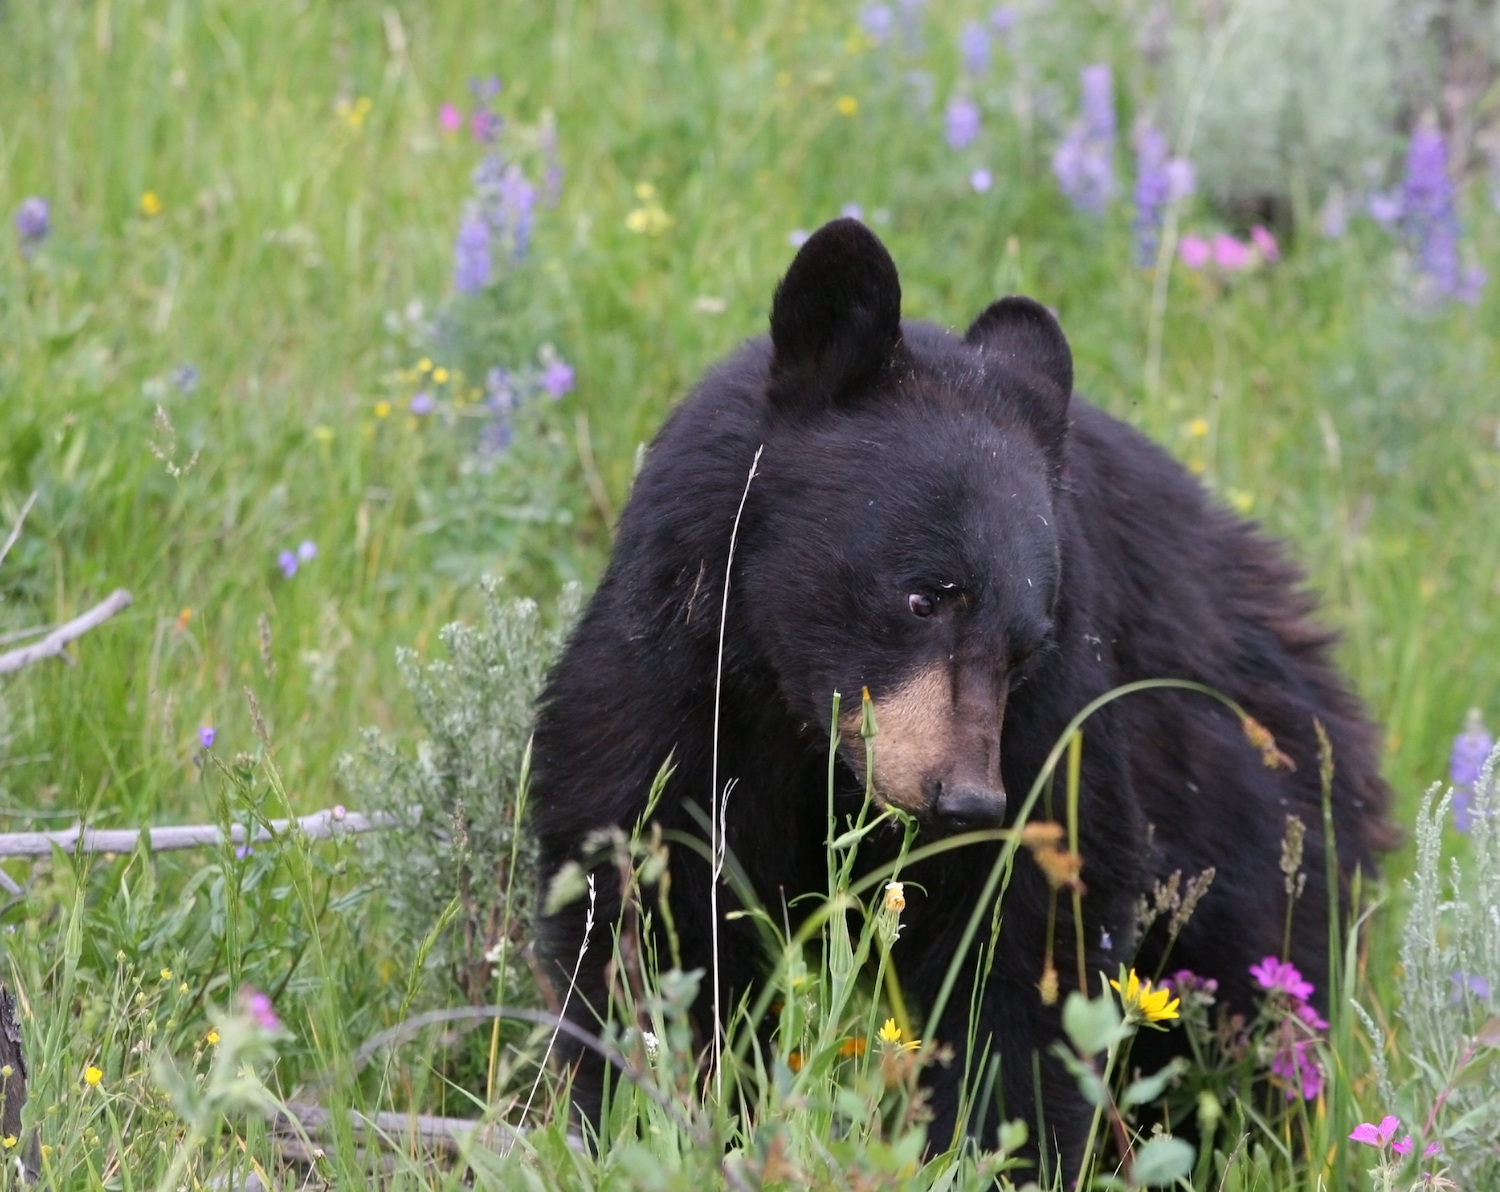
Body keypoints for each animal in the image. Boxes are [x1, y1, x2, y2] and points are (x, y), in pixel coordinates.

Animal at [528, 217, 1394, 1170]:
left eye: (1026, 645)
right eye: (924, 597)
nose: (966, 797)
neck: (798, 719)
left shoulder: (1054, 718)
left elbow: (1033, 934)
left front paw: (992, 1146)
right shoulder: (677, 677)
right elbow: (651, 903)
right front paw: (646, 1114)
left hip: (1257, 841)